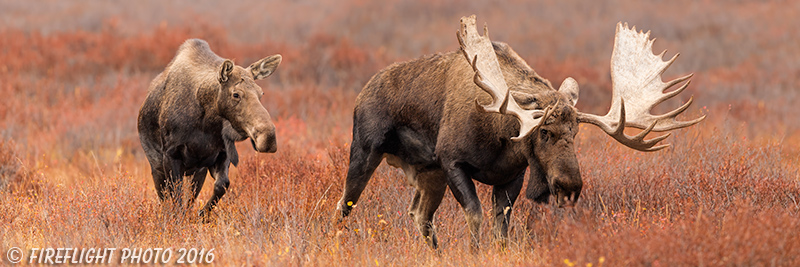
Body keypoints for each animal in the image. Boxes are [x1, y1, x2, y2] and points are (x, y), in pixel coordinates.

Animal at [134, 38, 278, 218]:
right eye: (236, 94)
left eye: (261, 93)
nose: (268, 138)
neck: (207, 123)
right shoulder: (170, 155)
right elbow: (176, 198)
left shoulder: (218, 156)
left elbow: (222, 185)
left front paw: (202, 215)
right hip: (156, 164)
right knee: (164, 196)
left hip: (197, 172)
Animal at [334, 15, 704, 249]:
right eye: (544, 132)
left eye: (576, 134)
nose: (570, 186)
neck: (501, 136)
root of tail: (362, 92)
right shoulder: (452, 161)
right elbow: (475, 217)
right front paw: (473, 254)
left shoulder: (511, 176)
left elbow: (501, 228)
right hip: (365, 150)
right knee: (344, 204)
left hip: (428, 174)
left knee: (419, 215)